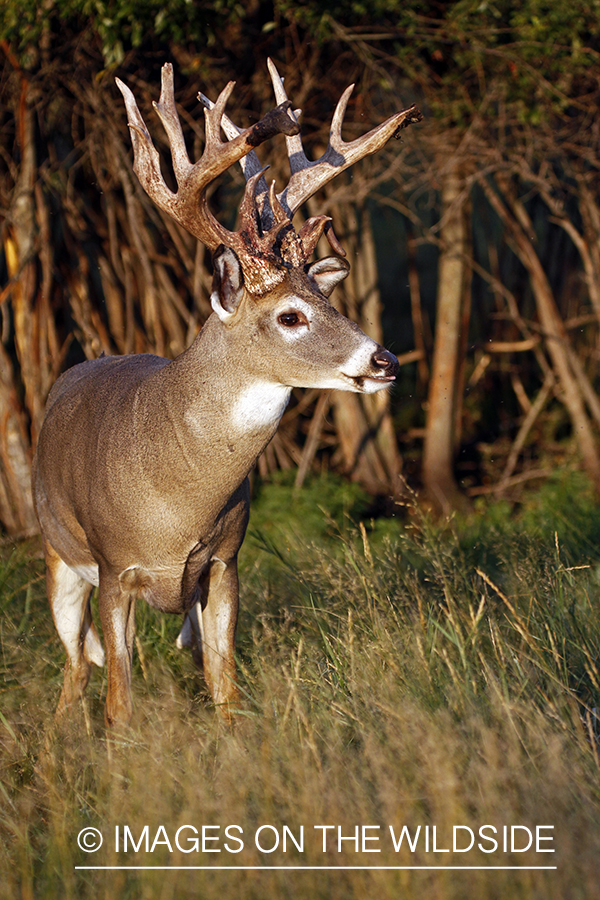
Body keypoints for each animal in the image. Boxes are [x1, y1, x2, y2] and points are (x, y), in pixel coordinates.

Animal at [30, 59, 420, 728]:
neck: (177, 500)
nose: (385, 360)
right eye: (290, 316)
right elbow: (118, 703)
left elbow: (225, 686)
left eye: (327, 299)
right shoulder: (113, 566)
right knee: (76, 669)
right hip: (58, 557)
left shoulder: (224, 561)